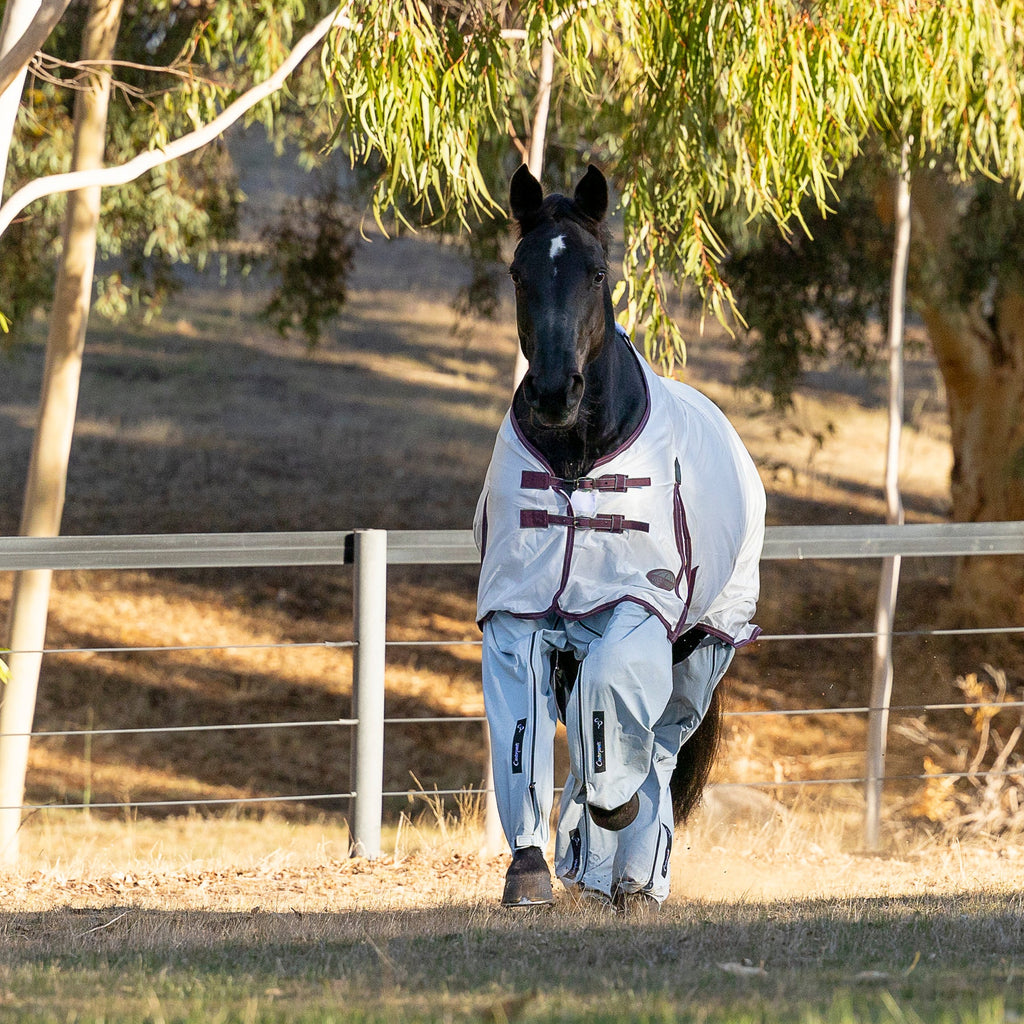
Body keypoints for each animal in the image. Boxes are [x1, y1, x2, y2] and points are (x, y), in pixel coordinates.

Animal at [473, 164, 765, 911]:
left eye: (597, 271)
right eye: (518, 272)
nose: (553, 392)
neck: (578, 466)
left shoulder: (637, 608)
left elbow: (619, 714)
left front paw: (616, 810)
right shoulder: (518, 613)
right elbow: (521, 732)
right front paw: (530, 870)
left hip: (700, 651)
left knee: (659, 748)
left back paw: (635, 876)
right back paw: (594, 868)